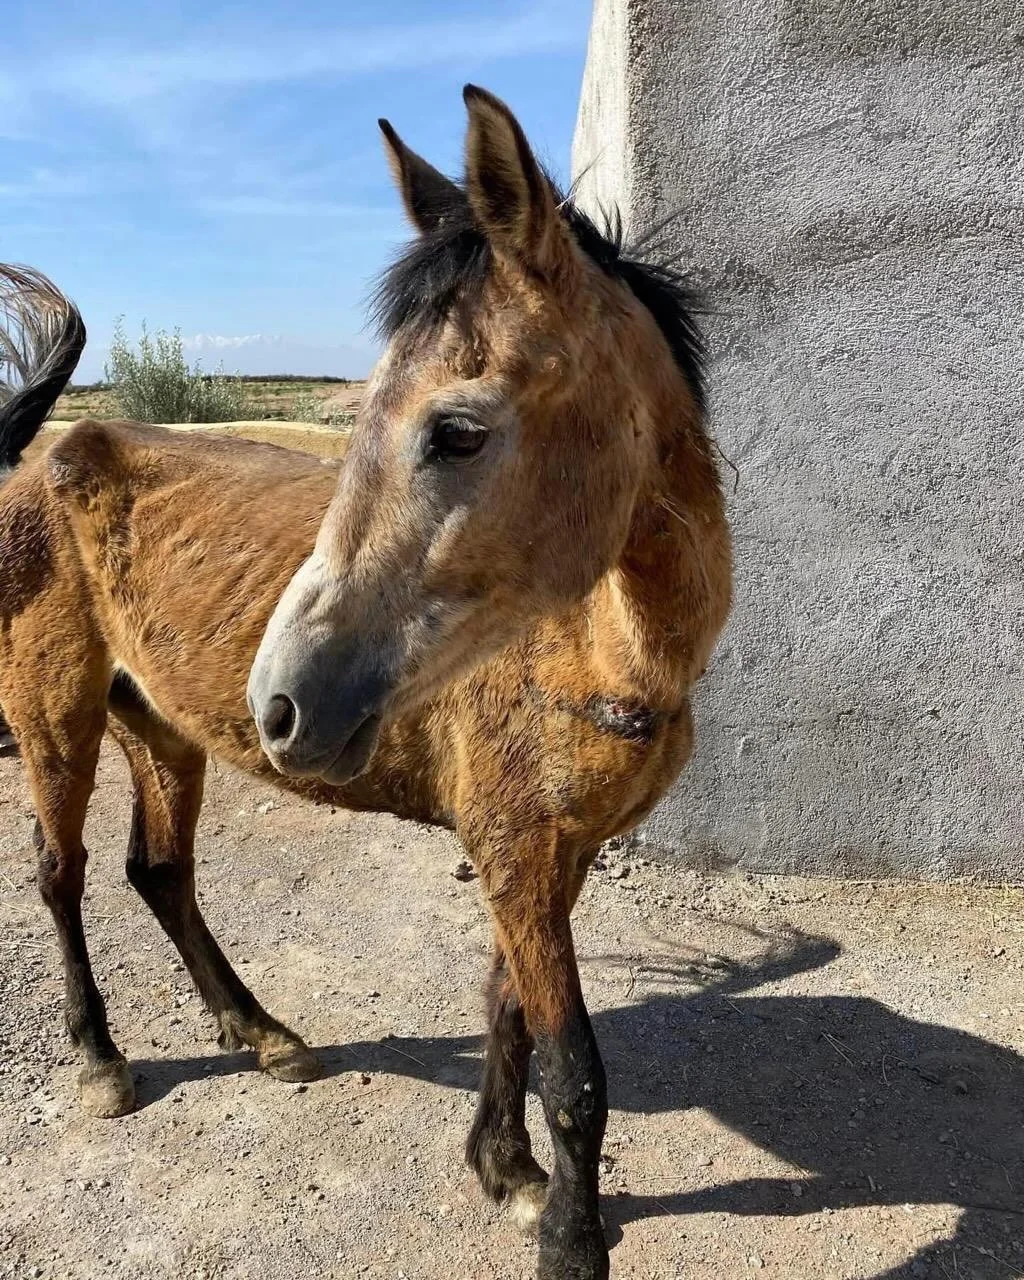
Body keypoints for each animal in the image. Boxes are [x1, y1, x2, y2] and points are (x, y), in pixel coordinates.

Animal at [0, 87, 731, 1279]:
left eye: (456, 430)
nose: (282, 703)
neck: (598, 653)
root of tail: (35, 462)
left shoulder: (547, 855)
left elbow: (506, 1007)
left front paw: (504, 1170)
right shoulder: (520, 853)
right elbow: (575, 1069)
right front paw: (569, 1239)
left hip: (160, 727)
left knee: (159, 872)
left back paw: (262, 1034)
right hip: (54, 718)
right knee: (61, 877)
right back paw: (102, 1060)